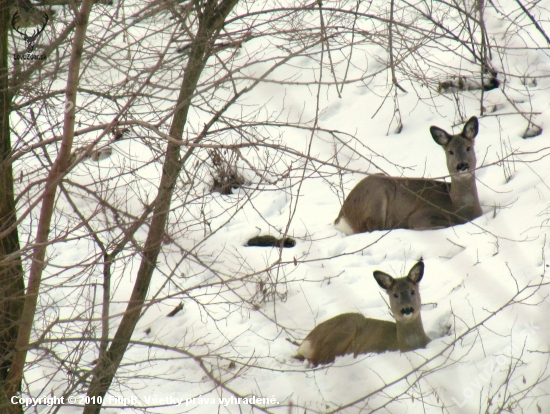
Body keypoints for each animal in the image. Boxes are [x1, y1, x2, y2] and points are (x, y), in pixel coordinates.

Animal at [298, 262, 432, 366]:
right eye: (395, 294)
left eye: (413, 291)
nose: (407, 309)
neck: (403, 346)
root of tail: (305, 342)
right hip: (346, 328)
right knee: (317, 359)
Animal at [334, 116, 480, 234]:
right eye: (450, 151)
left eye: (468, 147)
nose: (462, 165)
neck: (457, 207)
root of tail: (340, 219)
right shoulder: (421, 215)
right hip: (376, 195)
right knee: (373, 228)